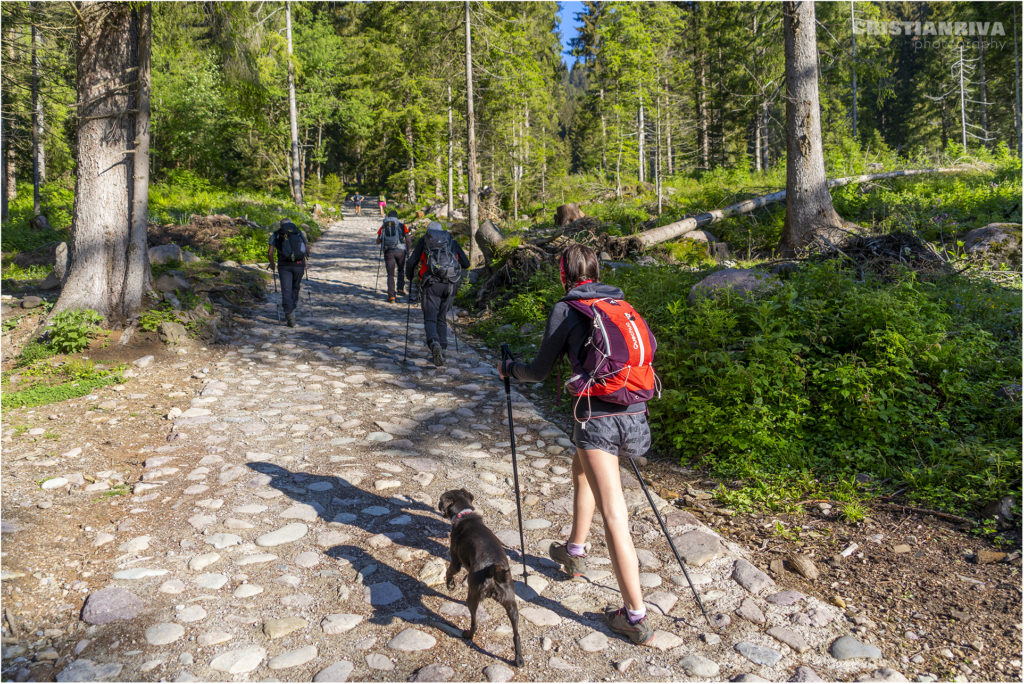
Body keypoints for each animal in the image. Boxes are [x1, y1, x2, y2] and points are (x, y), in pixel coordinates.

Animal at [438, 485, 524, 667]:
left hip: (474, 597)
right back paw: (519, 659)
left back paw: (467, 635)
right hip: (511, 605)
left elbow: (449, 572)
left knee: (475, 623)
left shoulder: (455, 560)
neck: (465, 515)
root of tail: (492, 570)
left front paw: (450, 585)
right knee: (516, 634)